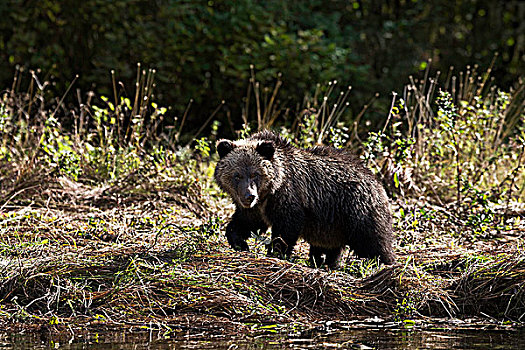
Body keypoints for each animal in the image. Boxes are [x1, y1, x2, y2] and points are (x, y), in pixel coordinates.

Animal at [213, 130, 392, 266]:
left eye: (255, 174)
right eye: (237, 175)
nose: (249, 196)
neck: (270, 191)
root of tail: (377, 182)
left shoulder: (288, 198)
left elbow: (287, 228)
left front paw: (275, 251)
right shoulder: (256, 209)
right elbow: (244, 223)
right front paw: (241, 243)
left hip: (357, 211)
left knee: (373, 242)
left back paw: (384, 264)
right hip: (331, 226)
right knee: (328, 247)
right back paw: (324, 263)